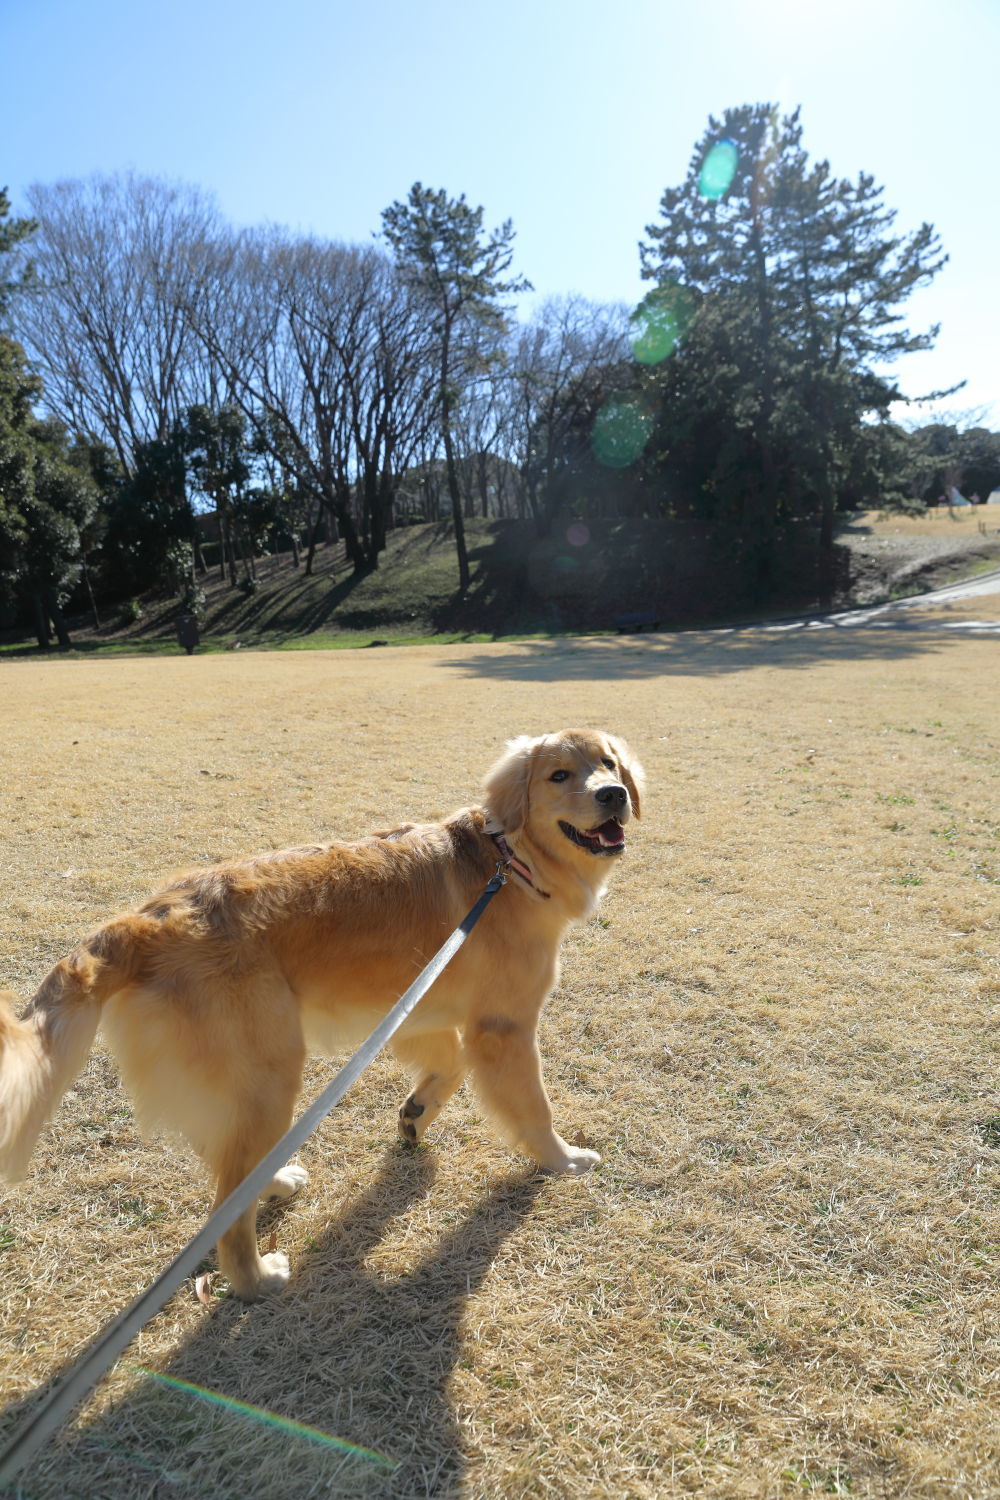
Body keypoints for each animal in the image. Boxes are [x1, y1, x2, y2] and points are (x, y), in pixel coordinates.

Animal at [0, 732, 641, 1296]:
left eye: (608, 763)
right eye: (559, 775)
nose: (614, 794)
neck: (510, 860)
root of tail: (141, 920)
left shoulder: (424, 1011)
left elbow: (448, 1068)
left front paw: (416, 1114)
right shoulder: (504, 1028)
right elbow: (533, 1107)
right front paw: (564, 1159)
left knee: (224, 1159)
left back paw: (277, 1180)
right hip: (271, 1072)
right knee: (226, 1208)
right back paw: (256, 1279)